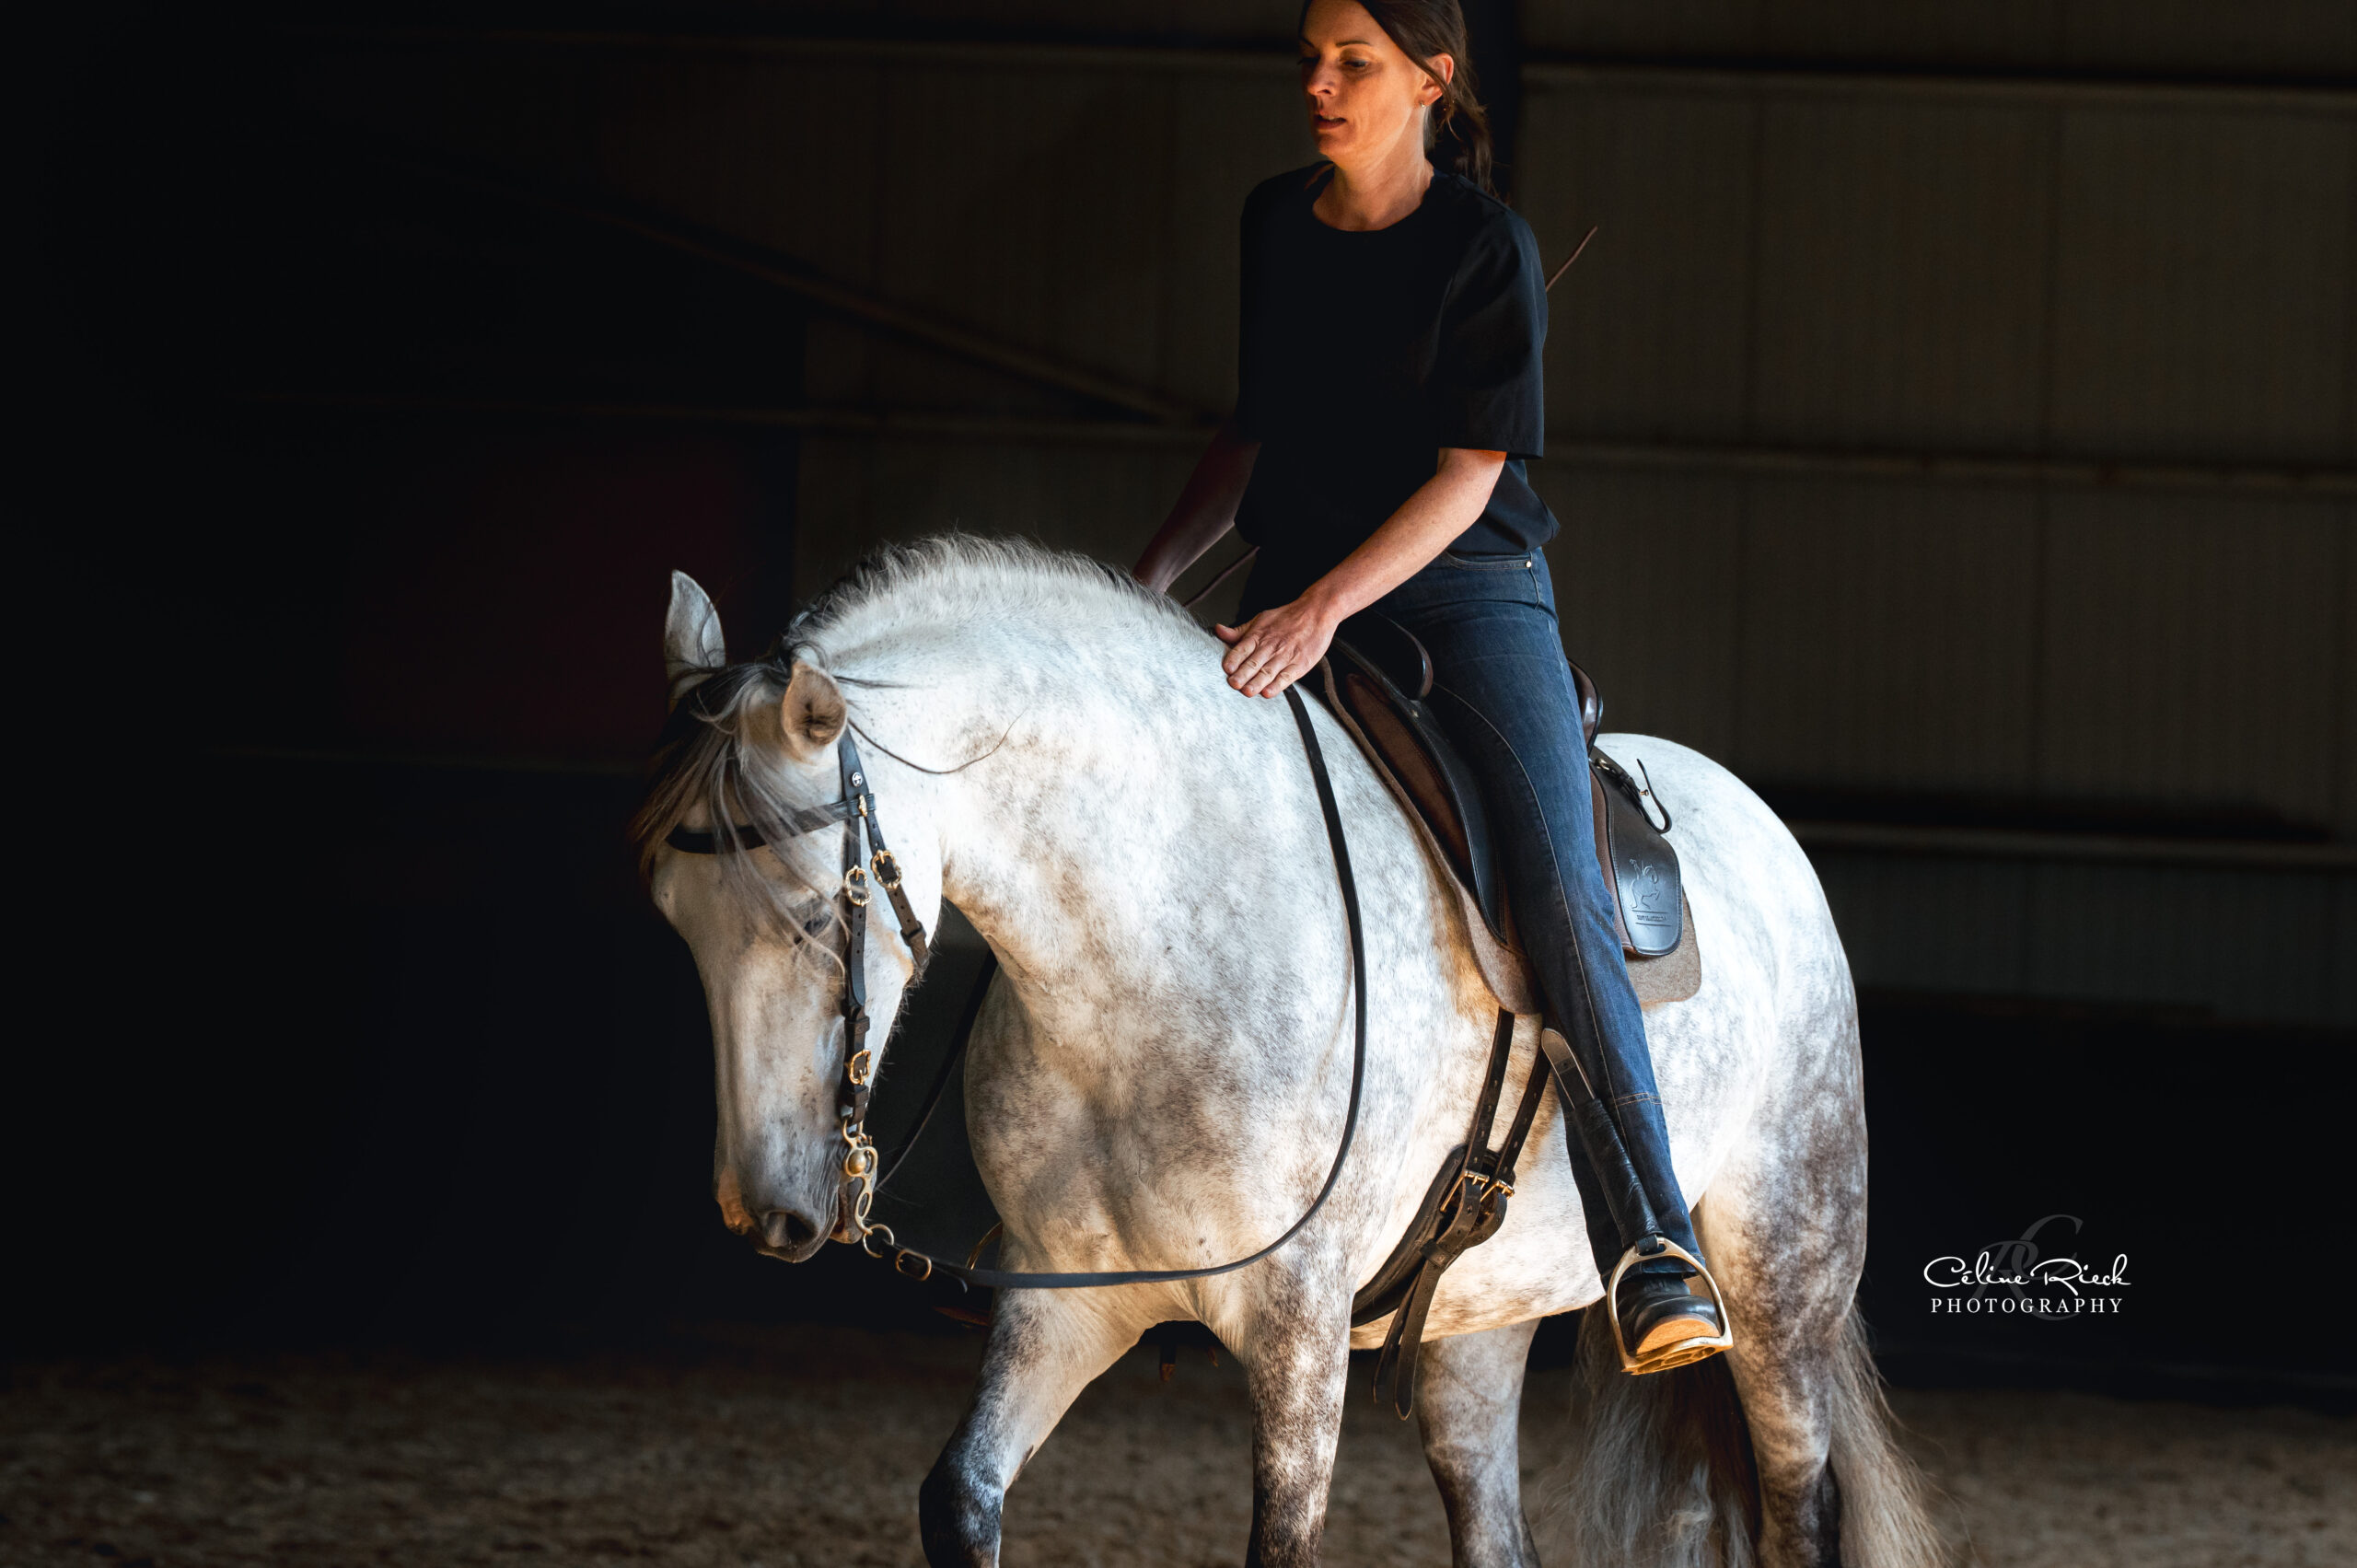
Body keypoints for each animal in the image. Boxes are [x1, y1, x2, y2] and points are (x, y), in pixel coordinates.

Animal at [635, 536, 1945, 1568]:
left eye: (820, 911)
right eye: (672, 918)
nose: (765, 1209)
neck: (1157, 942)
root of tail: (1757, 819)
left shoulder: (1299, 1322)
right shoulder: (1067, 1301)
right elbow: (959, 1498)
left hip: (1783, 1283)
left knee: (1799, 1505)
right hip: (1482, 1319)